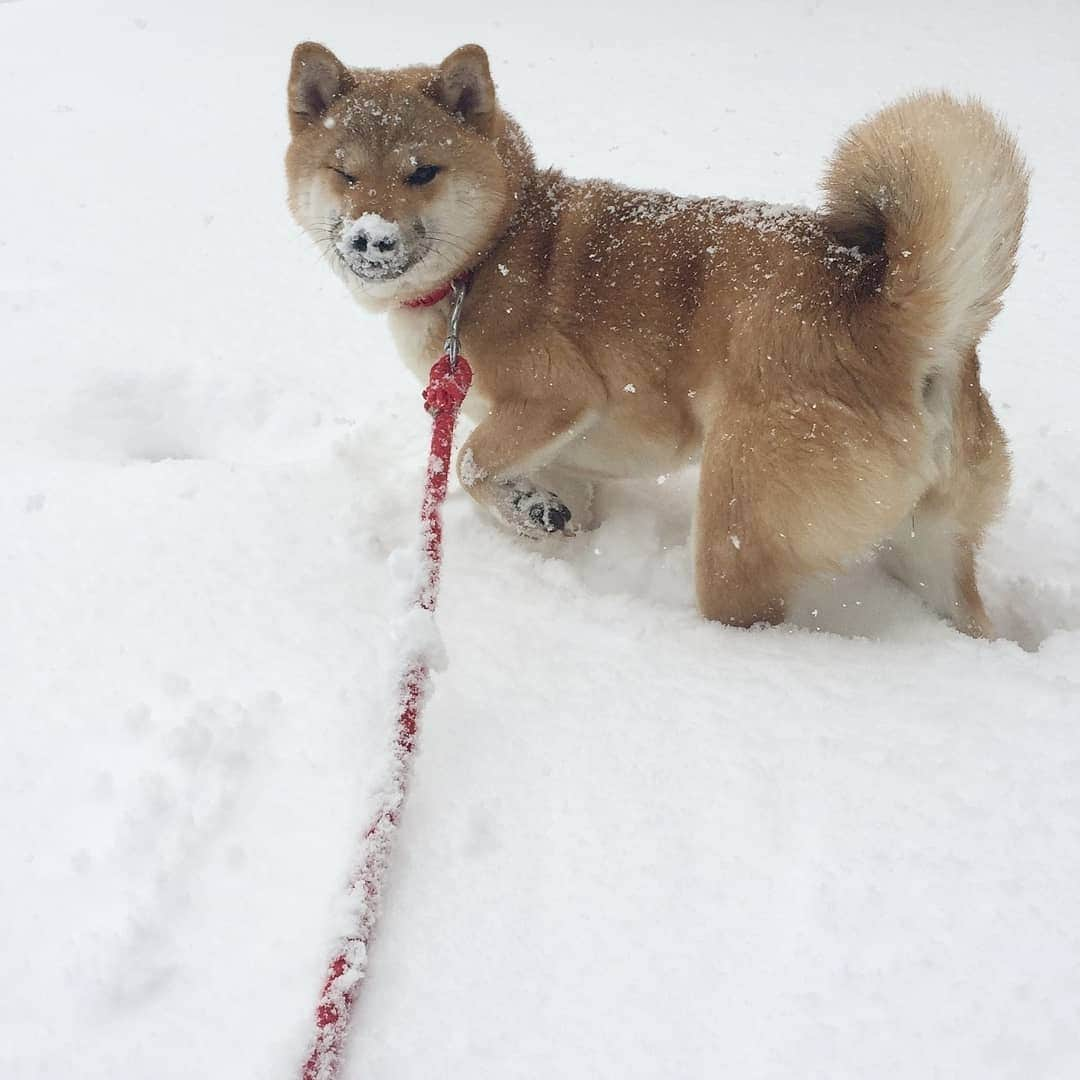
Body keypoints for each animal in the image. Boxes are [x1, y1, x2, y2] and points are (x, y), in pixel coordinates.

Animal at [287, 42, 1028, 630]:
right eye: (345, 173)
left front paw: (525, 509)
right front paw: (543, 518)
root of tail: (892, 315)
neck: (494, 247)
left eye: (422, 172)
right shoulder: (569, 455)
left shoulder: (556, 396)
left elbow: (469, 465)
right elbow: (558, 496)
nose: (371, 239)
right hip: (928, 550)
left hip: (738, 528)